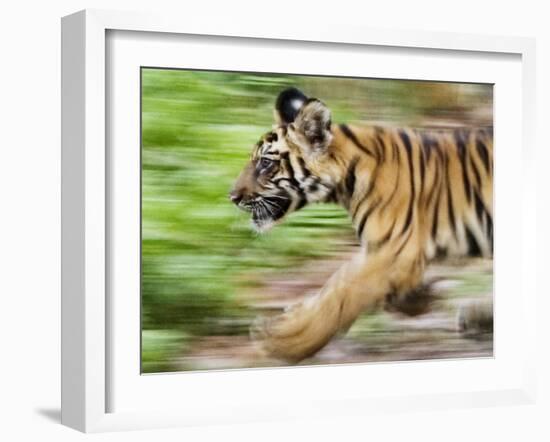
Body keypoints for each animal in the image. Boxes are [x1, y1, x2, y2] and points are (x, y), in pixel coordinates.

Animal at [229, 86, 496, 362]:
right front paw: (419, 298)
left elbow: (340, 296)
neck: (346, 184)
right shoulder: (380, 249)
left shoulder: (392, 251)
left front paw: (282, 340)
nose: (232, 196)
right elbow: (336, 284)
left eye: (265, 163)